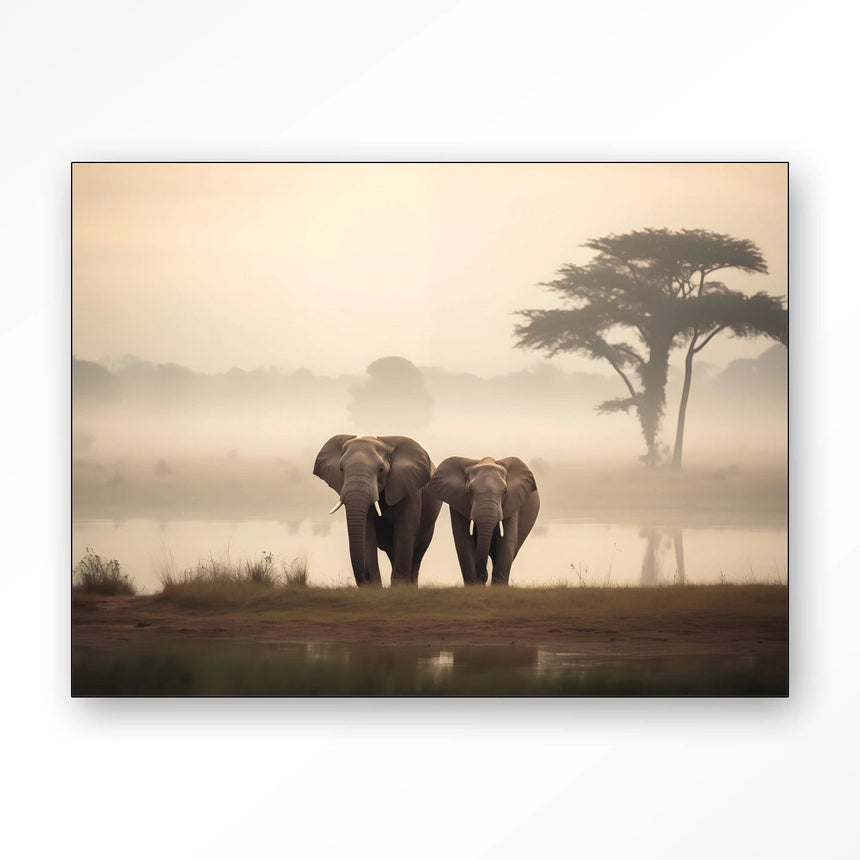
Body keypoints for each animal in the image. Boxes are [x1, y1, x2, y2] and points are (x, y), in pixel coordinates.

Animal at [313, 435, 442, 586]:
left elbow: (405, 534)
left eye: (381, 469)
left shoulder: (410, 491)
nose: (364, 578)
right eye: (341, 468)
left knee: (417, 556)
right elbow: (366, 535)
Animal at [428, 456, 540, 586]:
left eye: (505, 492)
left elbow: (507, 541)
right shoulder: (457, 503)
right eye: (470, 491)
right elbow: (463, 541)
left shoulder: (512, 501)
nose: (482, 576)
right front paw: (474, 585)